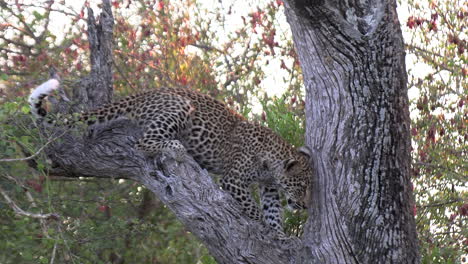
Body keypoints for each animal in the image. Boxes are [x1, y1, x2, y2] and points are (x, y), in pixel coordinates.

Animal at [29, 78, 314, 233]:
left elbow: (273, 211)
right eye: (300, 186)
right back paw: (176, 147)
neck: (272, 163)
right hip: (179, 106)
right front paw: (261, 224)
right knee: (143, 142)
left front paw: (279, 235)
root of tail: (146, 93)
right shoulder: (233, 180)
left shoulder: (269, 188)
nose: (305, 206)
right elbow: (253, 208)